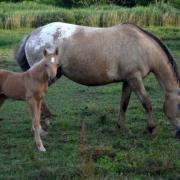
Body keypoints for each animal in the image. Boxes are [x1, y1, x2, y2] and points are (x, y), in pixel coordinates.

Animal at [14, 22, 180, 138]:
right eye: (179, 106)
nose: (179, 133)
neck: (141, 46)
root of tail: (32, 35)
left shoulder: (128, 80)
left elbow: (124, 104)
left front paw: (121, 127)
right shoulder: (135, 78)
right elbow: (147, 103)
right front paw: (152, 129)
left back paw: (43, 123)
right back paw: (41, 127)